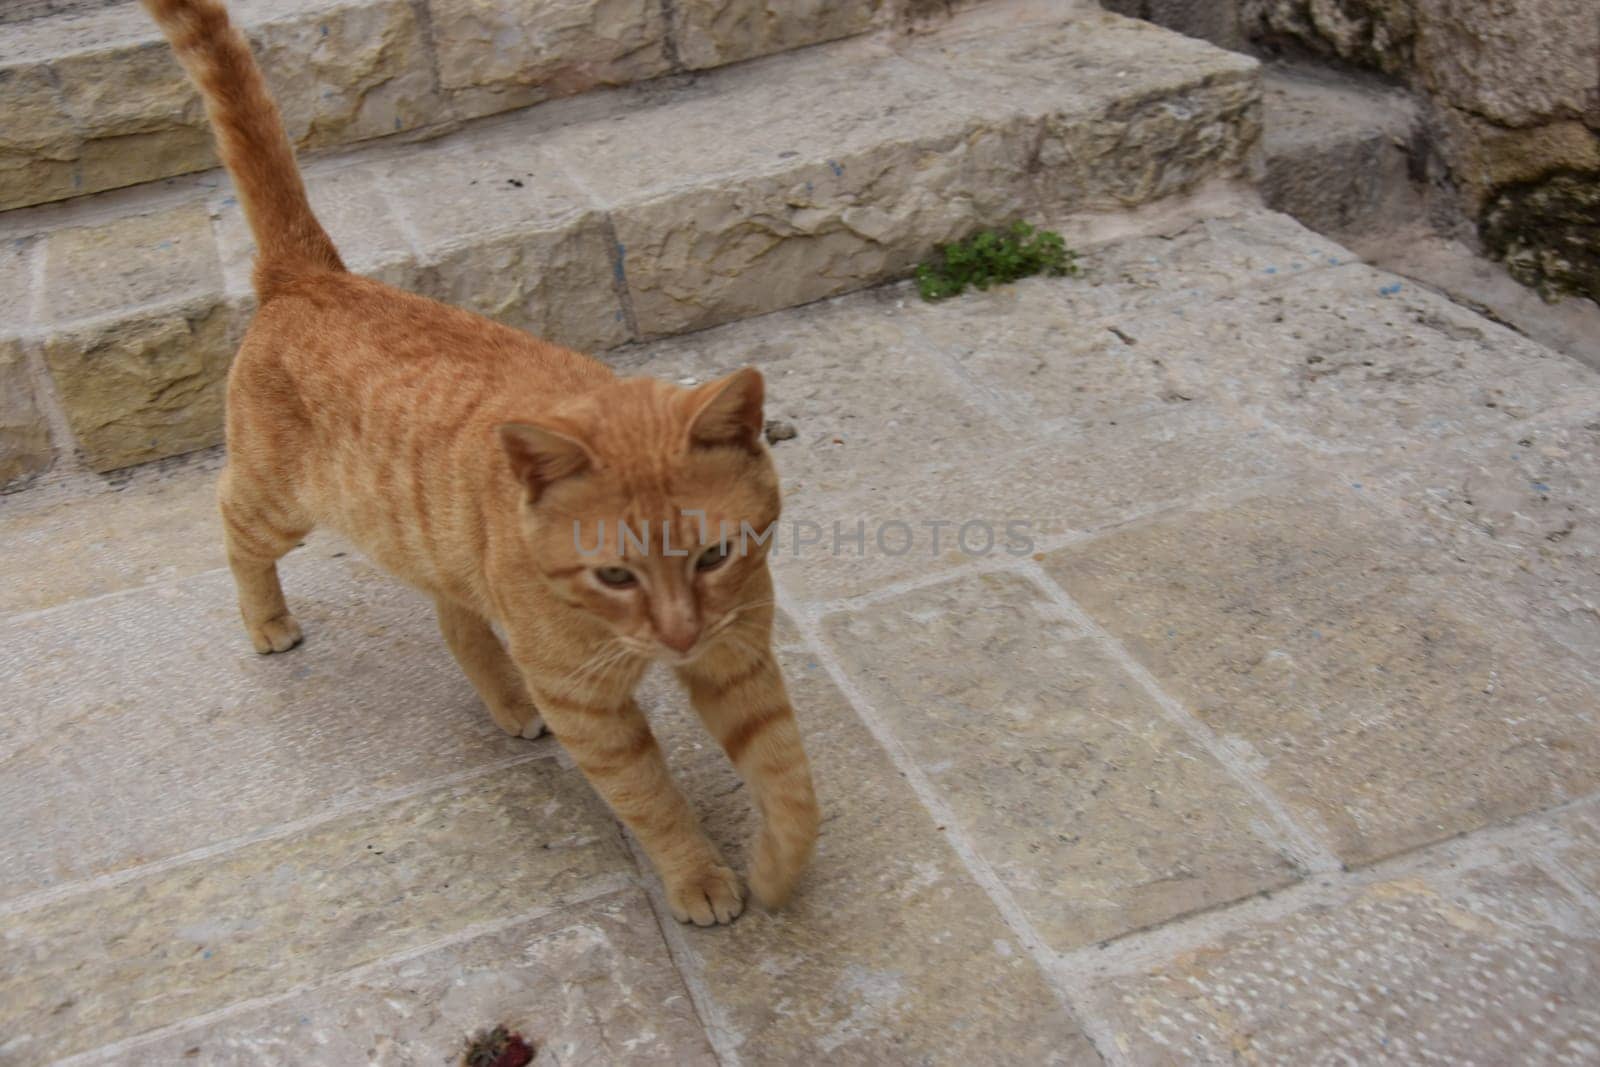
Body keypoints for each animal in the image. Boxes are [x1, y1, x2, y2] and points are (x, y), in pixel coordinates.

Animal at [139, 0, 819, 927]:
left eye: (714, 555)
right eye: (614, 574)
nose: (676, 634)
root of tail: (311, 275)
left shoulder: (737, 653)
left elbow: (789, 777)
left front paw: (779, 864)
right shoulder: (591, 709)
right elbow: (651, 796)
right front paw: (701, 876)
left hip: (433, 539)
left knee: (456, 620)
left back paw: (504, 697)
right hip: (279, 506)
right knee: (230, 518)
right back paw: (267, 621)